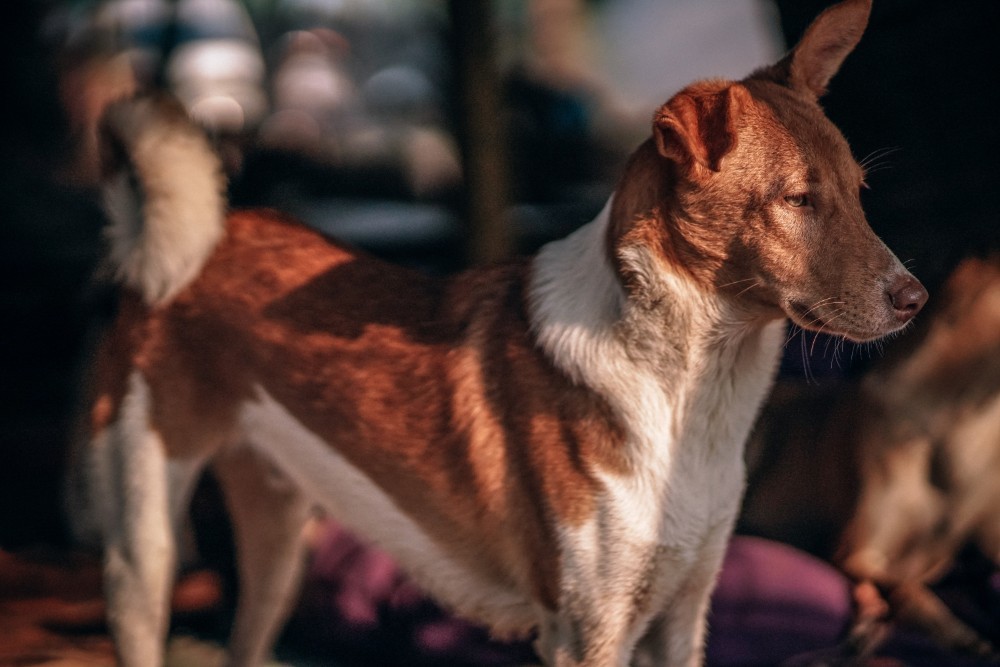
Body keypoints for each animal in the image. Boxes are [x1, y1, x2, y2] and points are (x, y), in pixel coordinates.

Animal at [66, 2, 924, 664]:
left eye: (859, 192)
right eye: (798, 200)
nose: (915, 297)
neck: (690, 395)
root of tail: (196, 243)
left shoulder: (682, 617)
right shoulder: (587, 633)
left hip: (279, 545)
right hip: (144, 549)